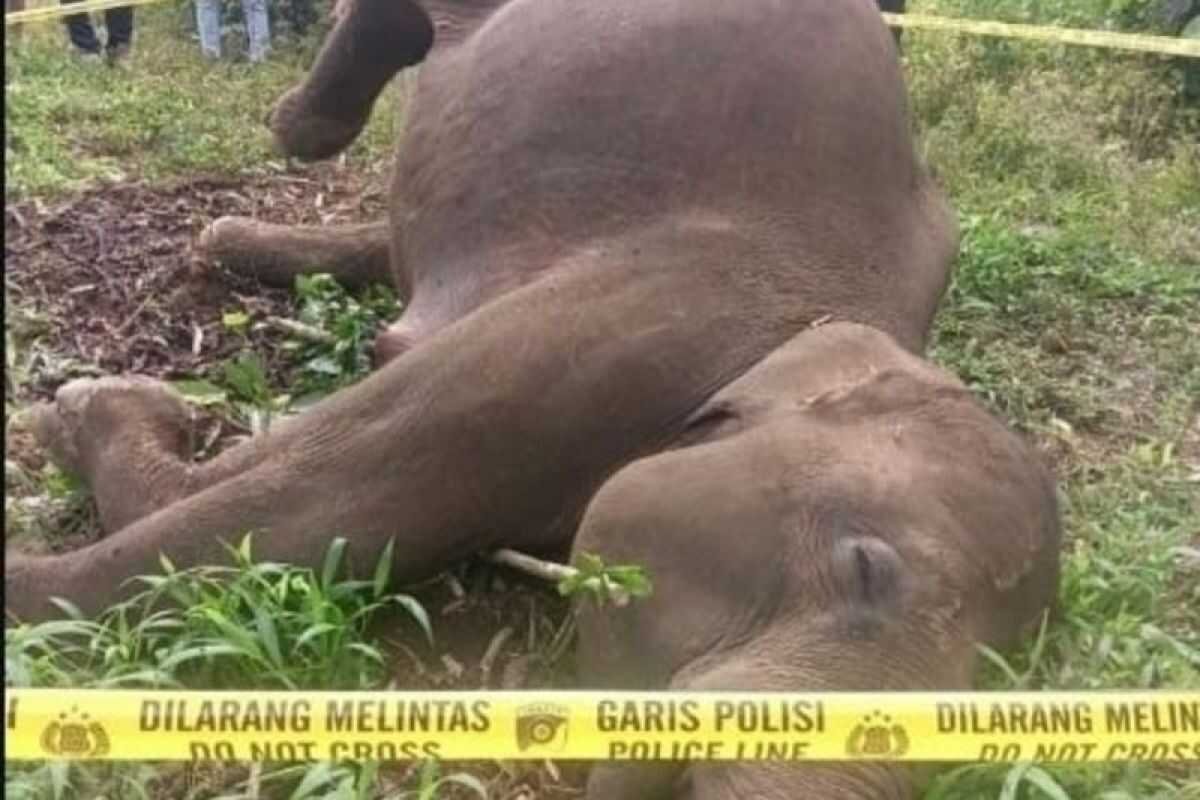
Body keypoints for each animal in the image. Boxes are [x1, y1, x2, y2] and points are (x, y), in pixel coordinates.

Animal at [6, 0, 1061, 797]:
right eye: (864, 567)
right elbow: (303, 500)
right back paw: (294, 130)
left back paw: (235, 236)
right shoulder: (618, 329)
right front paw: (80, 416)